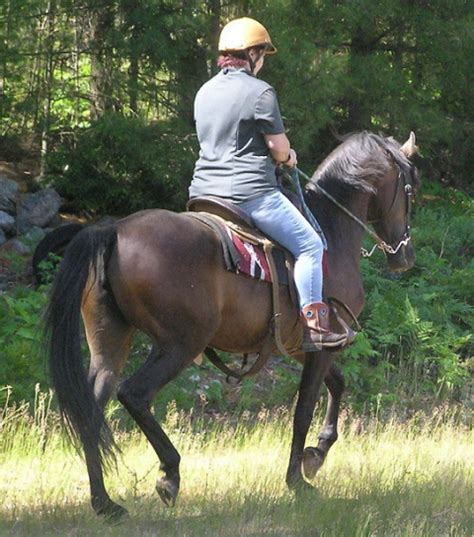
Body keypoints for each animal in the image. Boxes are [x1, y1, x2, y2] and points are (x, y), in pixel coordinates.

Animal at [45, 129, 418, 516]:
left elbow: (338, 383)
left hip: (110, 346)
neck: (330, 231)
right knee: (133, 394)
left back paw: (105, 503)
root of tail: (113, 230)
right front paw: (297, 480)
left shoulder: (307, 346)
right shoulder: (321, 345)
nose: (405, 256)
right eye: (410, 187)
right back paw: (169, 474)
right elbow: (303, 410)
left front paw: (316, 454)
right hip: (179, 345)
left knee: (90, 409)